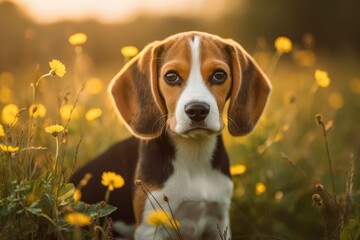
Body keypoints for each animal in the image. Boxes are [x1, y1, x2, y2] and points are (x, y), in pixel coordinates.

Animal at [71, 31, 272, 239]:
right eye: (171, 76)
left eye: (219, 75)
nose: (197, 110)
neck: (194, 155)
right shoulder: (150, 226)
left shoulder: (219, 221)